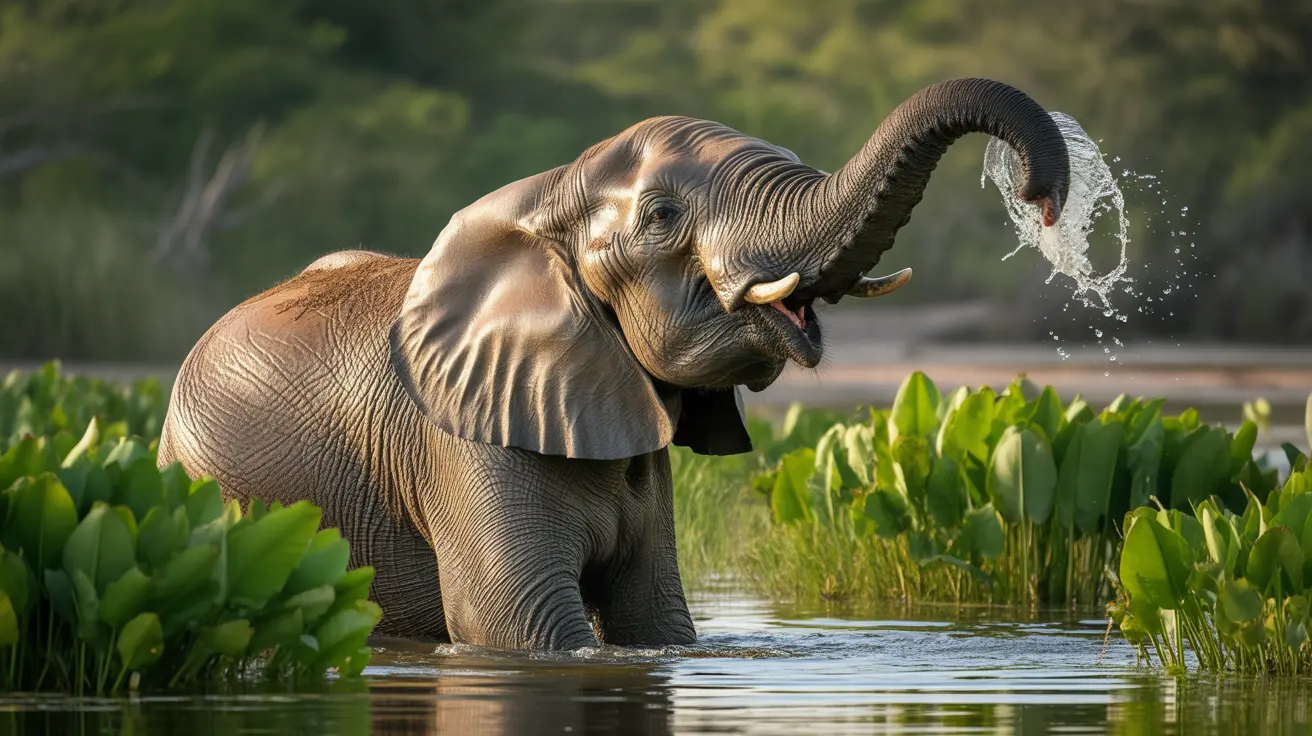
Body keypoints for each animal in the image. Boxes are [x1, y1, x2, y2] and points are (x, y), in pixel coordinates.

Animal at [158, 78, 1069, 650]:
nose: (1042, 196)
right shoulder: (461, 441)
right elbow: (516, 627)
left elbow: (655, 618)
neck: (547, 193)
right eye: (663, 216)